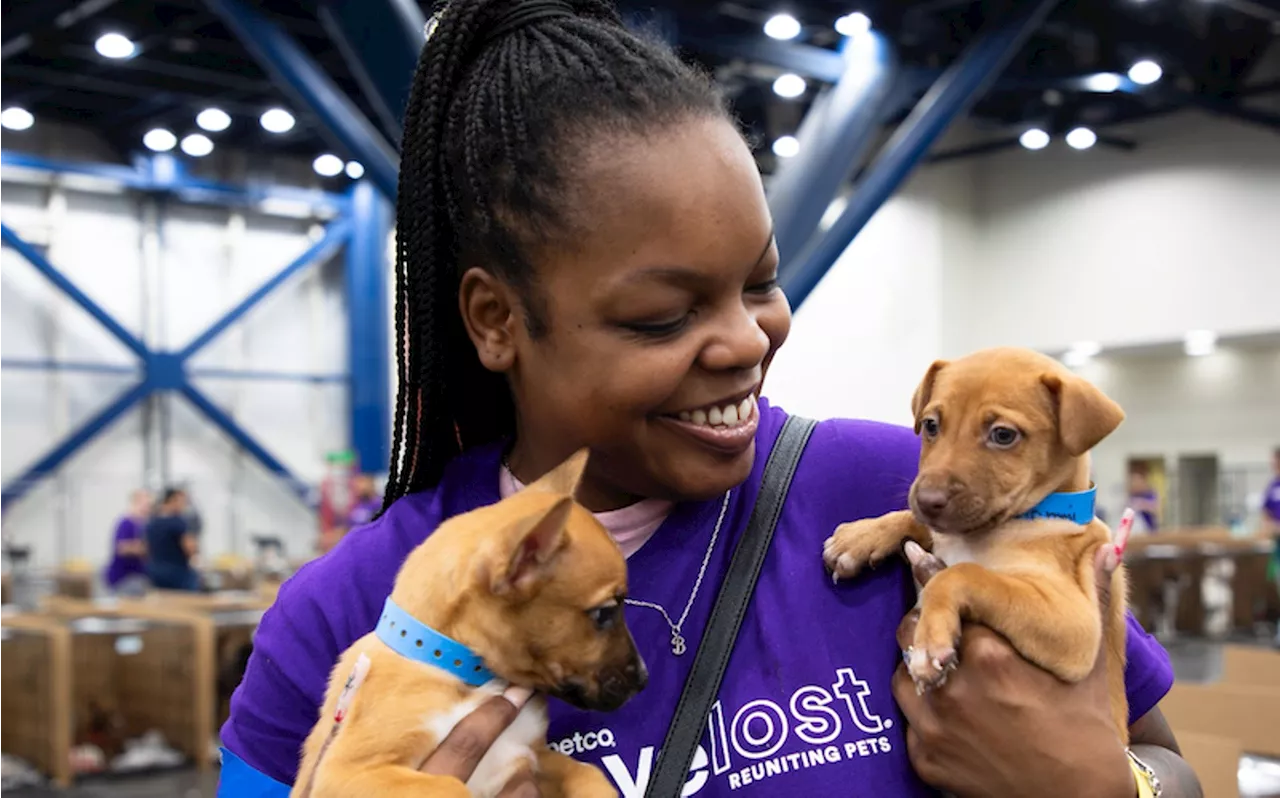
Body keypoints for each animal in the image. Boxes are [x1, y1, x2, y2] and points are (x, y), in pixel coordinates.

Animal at [293, 450, 645, 798]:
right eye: (604, 613)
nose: (643, 680)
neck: (463, 672)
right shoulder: (351, 773)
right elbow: (452, 787)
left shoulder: (532, 754)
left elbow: (588, 774)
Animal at [819, 348, 1131, 742]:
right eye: (931, 425)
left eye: (1003, 435)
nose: (928, 499)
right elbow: (915, 523)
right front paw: (859, 538)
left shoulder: (1076, 625)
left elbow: (962, 574)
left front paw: (929, 642)